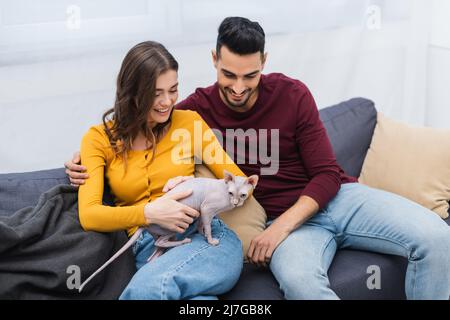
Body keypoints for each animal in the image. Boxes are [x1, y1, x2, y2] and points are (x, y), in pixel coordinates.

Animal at [78, 170, 256, 292]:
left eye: (242, 195)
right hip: (174, 225)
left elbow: (201, 224)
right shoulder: (206, 209)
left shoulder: (201, 211)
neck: (224, 191)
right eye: (231, 193)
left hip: (161, 231)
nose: (235, 203)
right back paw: (183, 241)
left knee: (155, 249)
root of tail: (144, 222)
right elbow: (206, 224)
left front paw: (202, 232)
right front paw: (211, 239)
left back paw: (156, 258)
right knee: (160, 241)